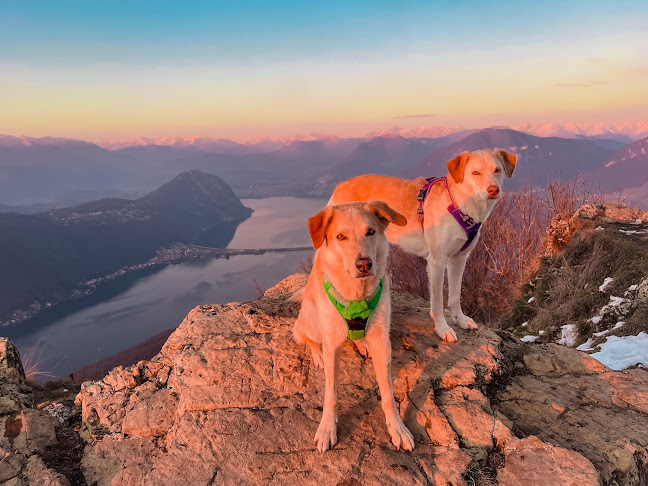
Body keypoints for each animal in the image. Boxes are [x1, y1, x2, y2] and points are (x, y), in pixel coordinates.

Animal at [292, 199, 412, 454]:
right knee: (306, 336)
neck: (357, 294)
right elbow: (330, 394)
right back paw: (317, 353)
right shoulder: (332, 343)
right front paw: (327, 428)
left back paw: (360, 343)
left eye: (371, 232)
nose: (364, 264)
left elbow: (388, 394)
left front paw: (397, 428)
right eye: (340, 237)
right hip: (312, 320)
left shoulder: (382, 341)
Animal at [330, 148, 516, 342]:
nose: (493, 190)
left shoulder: (459, 259)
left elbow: (455, 295)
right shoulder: (437, 262)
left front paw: (460, 319)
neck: (459, 203)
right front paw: (442, 328)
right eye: (475, 173)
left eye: (497, 170)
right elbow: (438, 302)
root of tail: (342, 183)